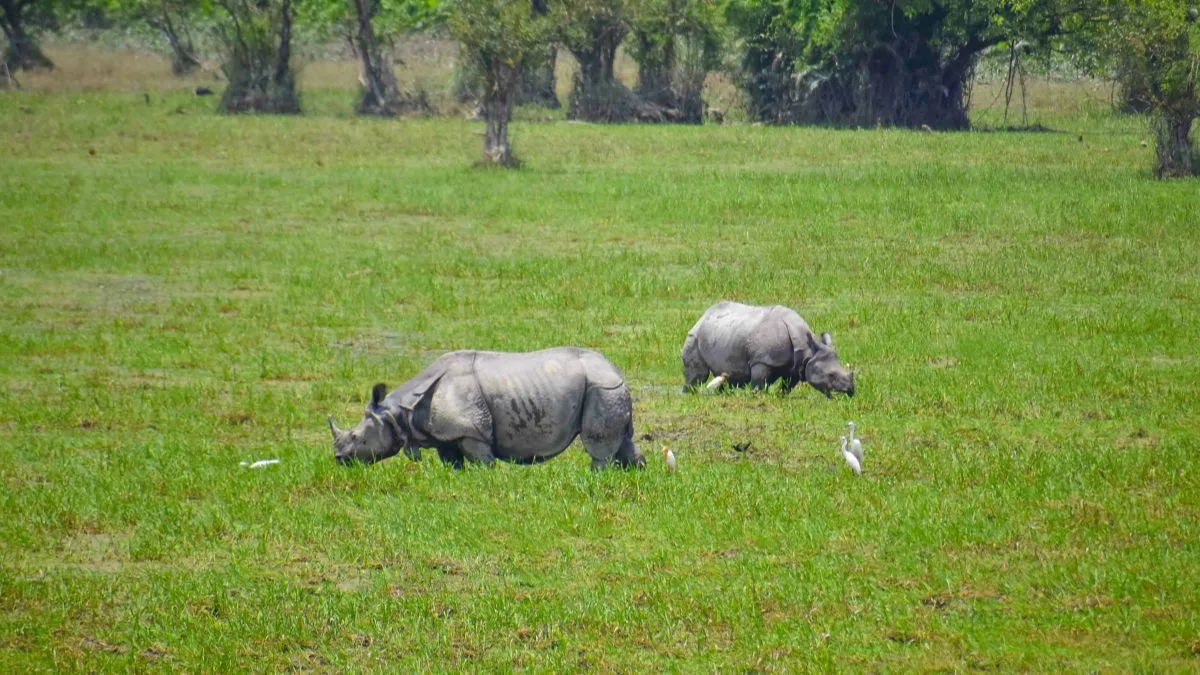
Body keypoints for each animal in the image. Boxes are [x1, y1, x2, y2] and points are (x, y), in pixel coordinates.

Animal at [328, 347, 646, 470]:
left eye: (357, 437)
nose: (339, 459)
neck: (400, 411)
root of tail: (614, 368)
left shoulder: (472, 432)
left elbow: (483, 462)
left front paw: (486, 478)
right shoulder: (446, 435)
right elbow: (451, 462)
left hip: (601, 388)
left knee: (599, 447)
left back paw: (595, 477)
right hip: (606, 388)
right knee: (623, 441)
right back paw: (634, 474)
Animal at [681, 300, 855, 397]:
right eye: (831, 375)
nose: (850, 391)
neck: (808, 350)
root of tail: (703, 316)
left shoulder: (795, 364)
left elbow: (788, 384)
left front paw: (780, 396)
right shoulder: (762, 360)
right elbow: (758, 383)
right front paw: (756, 396)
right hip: (694, 336)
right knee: (698, 376)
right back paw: (689, 393)